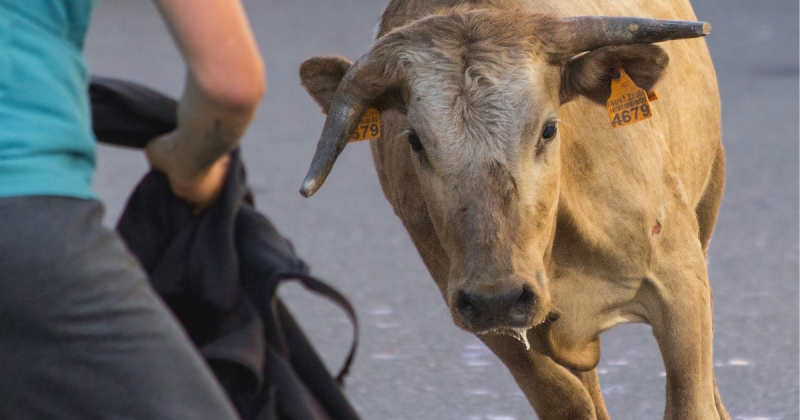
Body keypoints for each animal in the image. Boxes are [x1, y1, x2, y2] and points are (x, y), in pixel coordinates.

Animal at [296, 1, 728, 418]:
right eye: (415, 141)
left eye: (549, 128)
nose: (498, 298)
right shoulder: (482, 316)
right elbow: (565, 400)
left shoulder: (680, 282)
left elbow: (691, 404)